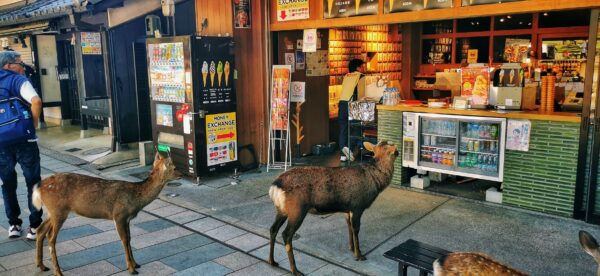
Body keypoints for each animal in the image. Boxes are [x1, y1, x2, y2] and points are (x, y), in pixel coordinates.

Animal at [32, 152, 178, 274]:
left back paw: (42, 266)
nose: (181, 174)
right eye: (175, 167)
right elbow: (124, 240)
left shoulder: (127, 219)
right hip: (58, 210)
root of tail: (38, 187)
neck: (135, 199)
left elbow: (130, 238)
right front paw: (131, 269)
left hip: (53, 211)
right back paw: (58, 272)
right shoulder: (119, 215)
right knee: (51, 237)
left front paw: (136, 264)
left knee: (41, 230)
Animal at [268, 141, 398, 274]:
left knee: (273, 229)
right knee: (286, 234)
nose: (397, 152)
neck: (374, 181)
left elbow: (349, 226)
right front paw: (359, 254)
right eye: (390, 149)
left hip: (282, 209)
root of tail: (275, 186)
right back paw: (295, 270)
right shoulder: (357, 205)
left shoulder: (347, 208)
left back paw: (272, 261)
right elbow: (356, 229)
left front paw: (351, 248)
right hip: (297, 209)